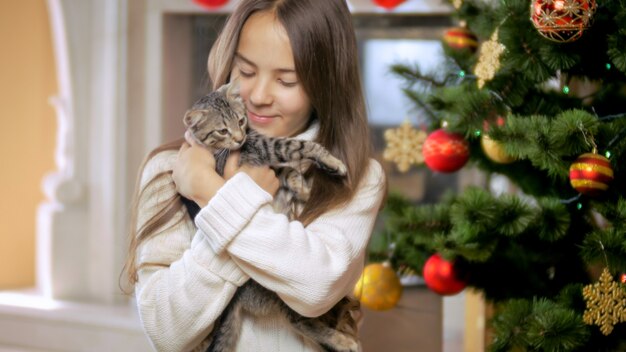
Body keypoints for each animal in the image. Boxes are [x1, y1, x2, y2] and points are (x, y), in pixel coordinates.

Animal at [180, 82, 358, 352]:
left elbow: (288, 170)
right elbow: (300, 147)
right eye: (222, 130)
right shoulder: (267, 147)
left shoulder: (264, 154)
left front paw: (302, 188)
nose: (240, 138)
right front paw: (331, 161)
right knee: (299, 319)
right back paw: (342, 341)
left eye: (241, 121)